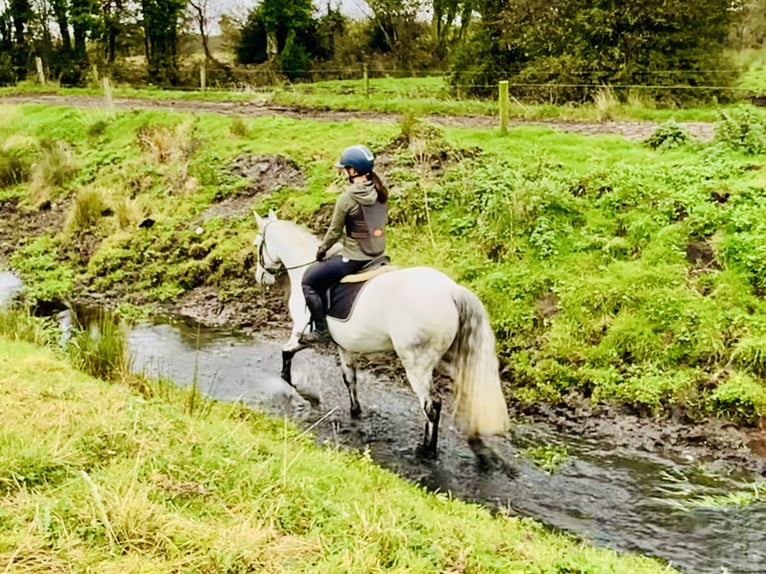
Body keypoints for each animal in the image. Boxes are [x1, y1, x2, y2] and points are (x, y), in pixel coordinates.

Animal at [255, 212, 512, 460]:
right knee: (472, 392)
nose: (260, 278)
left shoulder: (302, 333)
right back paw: (475, 440)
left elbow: (286, 354)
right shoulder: (344, 346)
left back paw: (427, 450)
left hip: (417, 364)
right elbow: (350, 379)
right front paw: (355, 412)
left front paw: (288, 383)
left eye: (258, 244)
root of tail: (451, 291)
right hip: (452, 358)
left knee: (431, 405)